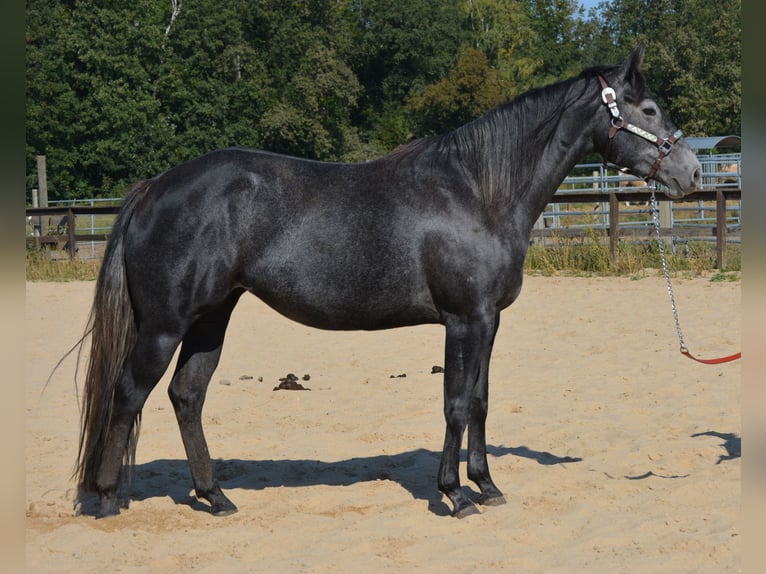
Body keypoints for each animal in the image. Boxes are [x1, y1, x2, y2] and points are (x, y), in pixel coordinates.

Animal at [75, 44, 701, 519]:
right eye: (648, 108)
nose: (692, 172)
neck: (478, 190)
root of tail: (153, 189)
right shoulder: (464, 319)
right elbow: (455, 403)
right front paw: (454, 495)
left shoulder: (489, 321)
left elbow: (479, 401)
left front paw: (487, 486)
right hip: (164, 326)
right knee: (128, 394)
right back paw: (106, 498)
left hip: (211, 317)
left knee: (187, 395)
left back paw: (215, 496)